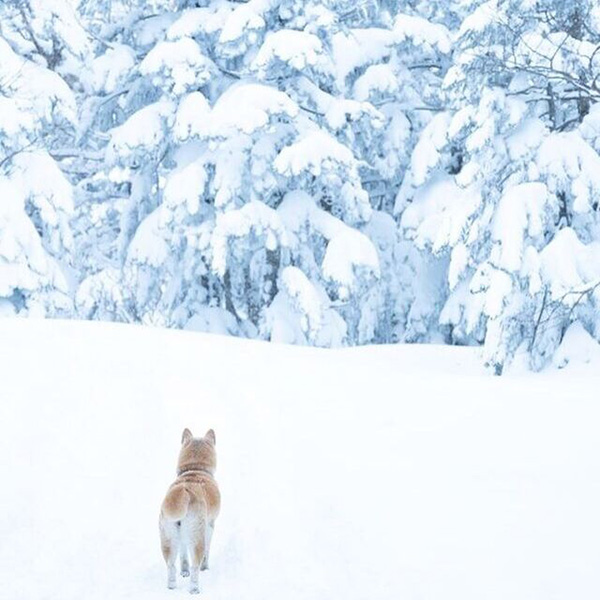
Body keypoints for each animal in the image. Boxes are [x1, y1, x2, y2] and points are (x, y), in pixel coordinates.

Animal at [159, 428, 220, 592]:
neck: (195, 468)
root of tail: (183, 490)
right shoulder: (210, 525)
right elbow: (207, 551)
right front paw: (205, 567)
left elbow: (183, 555)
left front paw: (183, 571)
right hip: (197, 536)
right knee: (195, 566)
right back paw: (194, 589)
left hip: (168, 537)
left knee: (171, 565)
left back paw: (172, 586)